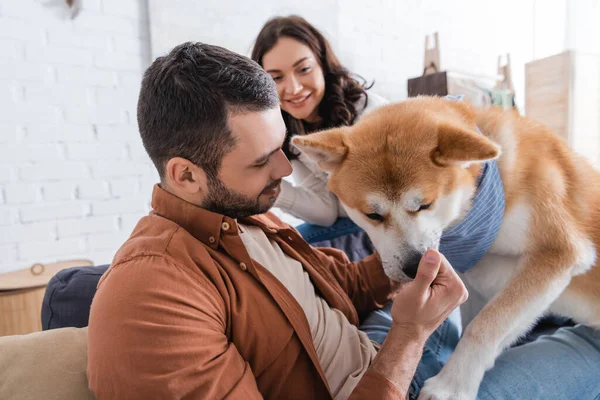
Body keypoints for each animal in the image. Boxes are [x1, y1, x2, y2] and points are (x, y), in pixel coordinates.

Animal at [292, 97, 600, 400]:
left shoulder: (558, 251)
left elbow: (485, 324)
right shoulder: (474, 274)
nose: (414, 267)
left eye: (425, 204)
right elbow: (479, 318)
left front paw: (452, 385)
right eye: (373, 215)